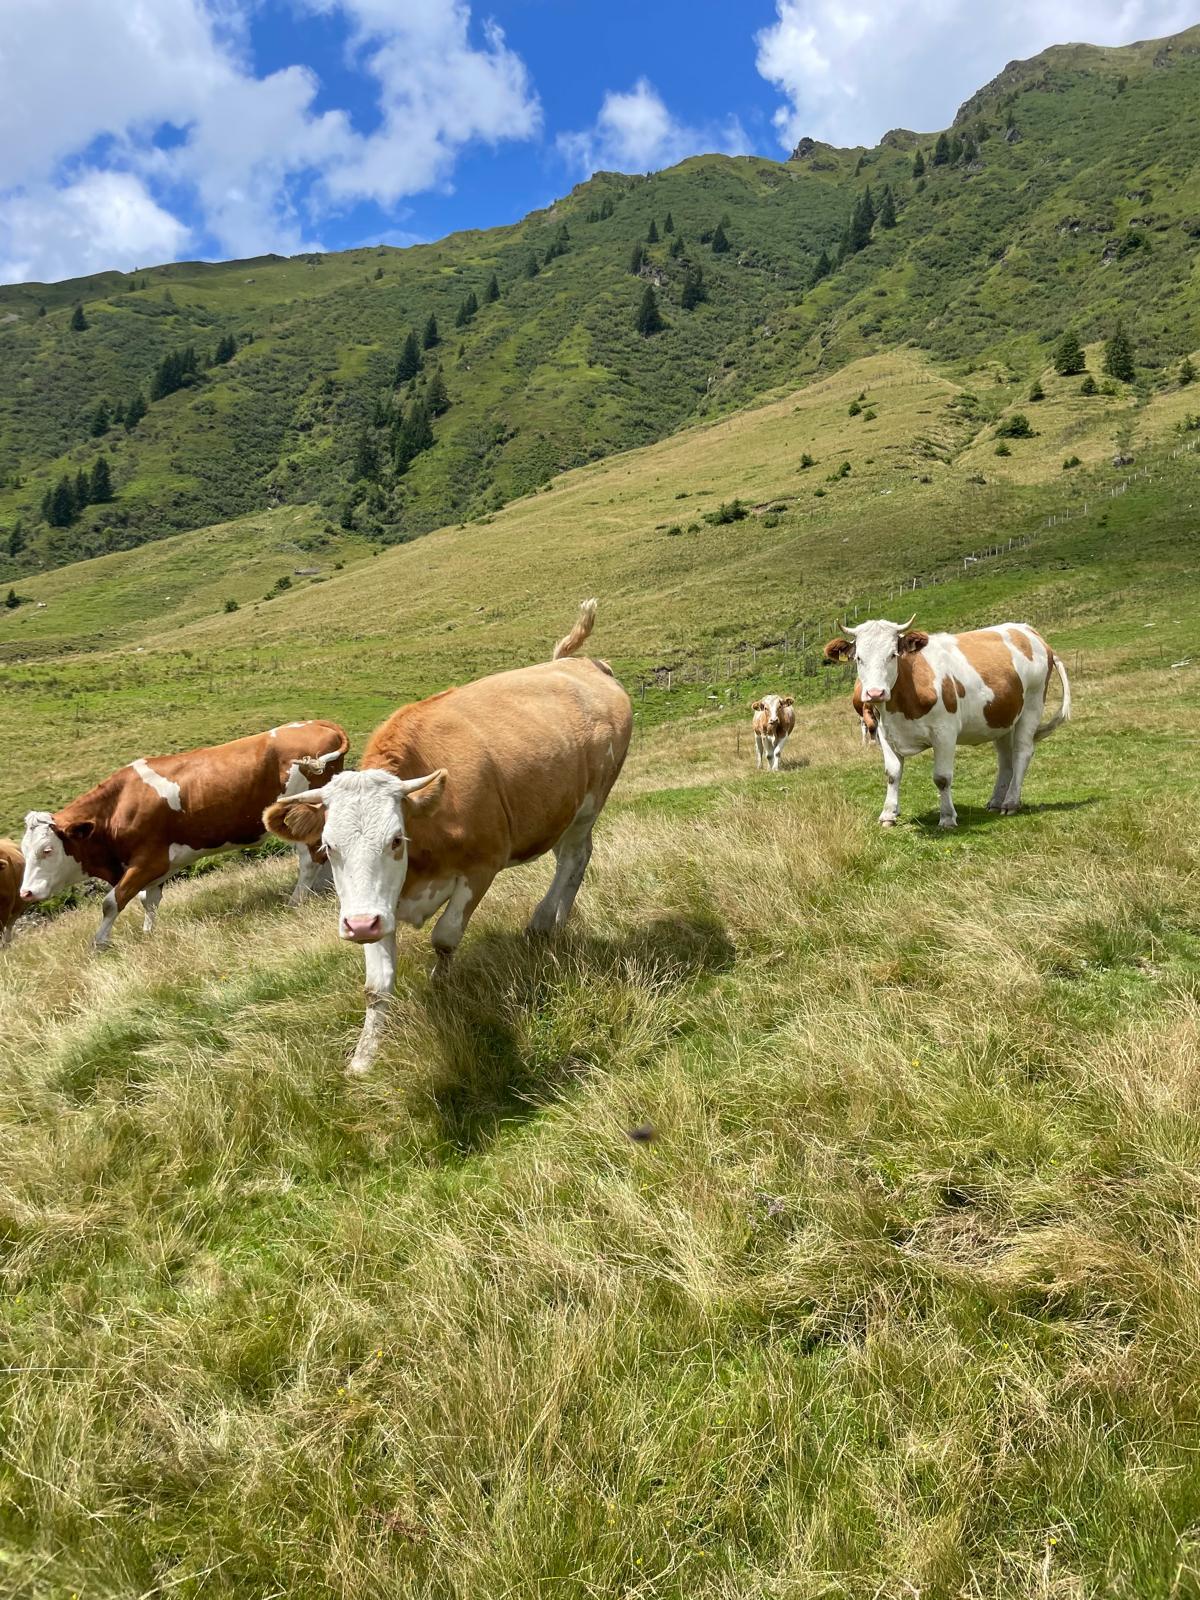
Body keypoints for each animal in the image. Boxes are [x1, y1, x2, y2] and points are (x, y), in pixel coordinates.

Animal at [19, 720, 349, 945]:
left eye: (46, 850)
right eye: (23, 852)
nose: (26, 893)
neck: (117, 807)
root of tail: (315, 723)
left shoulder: (150, 860)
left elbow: (112, 901)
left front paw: (99, 943)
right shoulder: (154, 868)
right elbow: (148, 900)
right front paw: (149, 934)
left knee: (309, 860)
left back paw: (297, 900)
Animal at [263, 601, 632, 1074]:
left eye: (396, 840)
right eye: (329, 846)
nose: (358, 925)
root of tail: (578, 663)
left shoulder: (482, 866)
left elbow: (445, 937)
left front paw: (441, 986)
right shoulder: (376, 904)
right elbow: (376, 985)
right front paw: (363, 1057)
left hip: (588, 806)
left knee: (574, 859)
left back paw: (547, 922)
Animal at [823, 616, 1070, 828]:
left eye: (893, 654)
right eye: (859, 658)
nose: (875, 693)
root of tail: (1029, 632)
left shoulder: (945, 733)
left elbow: (942, 778)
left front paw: (948, 817)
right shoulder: (885, 732)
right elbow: (892, 774)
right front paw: (888, 815)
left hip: (1031, 707)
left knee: (1022, 753)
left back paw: (1010, 802)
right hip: (1001, 719)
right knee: (1005, 759)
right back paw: (996, 801)